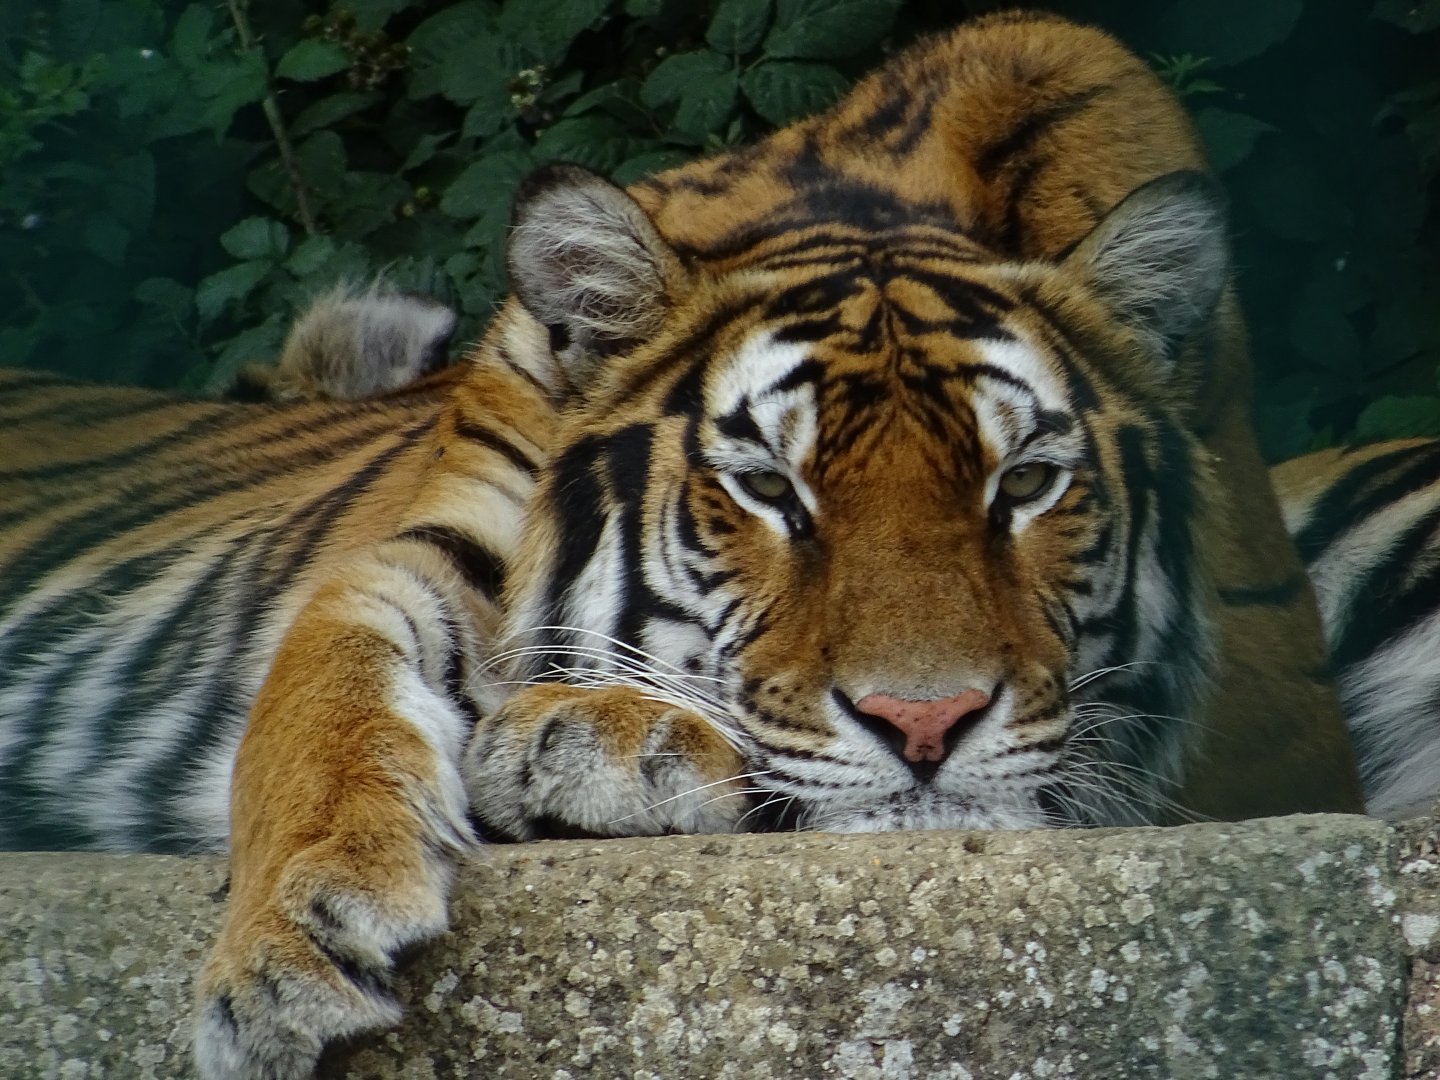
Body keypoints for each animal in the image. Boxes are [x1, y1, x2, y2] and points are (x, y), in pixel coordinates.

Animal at [0, 10, 1430, 1079]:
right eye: (765, 488)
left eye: (1025, 483)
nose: (928, 725)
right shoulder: (432, 542)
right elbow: (319, 695)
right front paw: (296, 944)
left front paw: (586, 746)